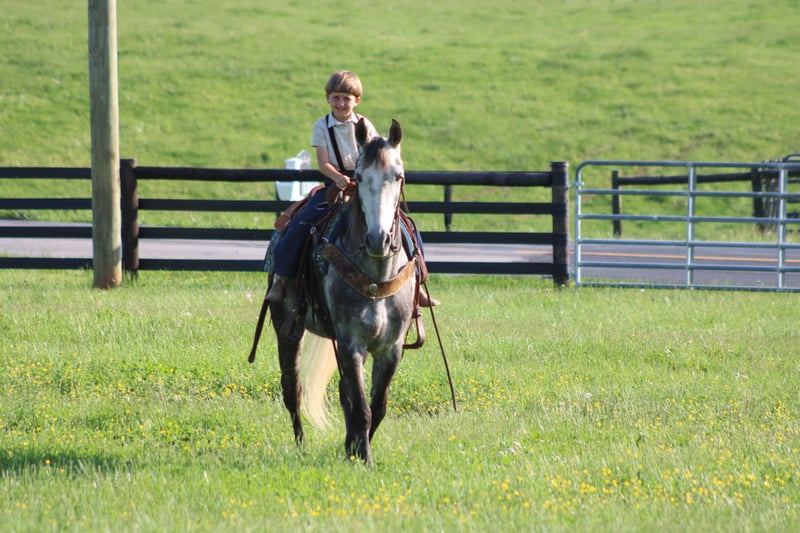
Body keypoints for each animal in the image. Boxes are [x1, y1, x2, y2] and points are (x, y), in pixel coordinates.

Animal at [265, 118, 417, 465]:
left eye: (398, 175)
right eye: (358, 177)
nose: (378, 239)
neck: (376, 277)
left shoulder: (391, 349)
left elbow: (376, 406)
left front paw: (355, 450)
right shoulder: (351, 344)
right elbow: (360, 407)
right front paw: (364, 458)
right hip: (287, 329)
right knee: (291, 389)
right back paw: (301, 444)